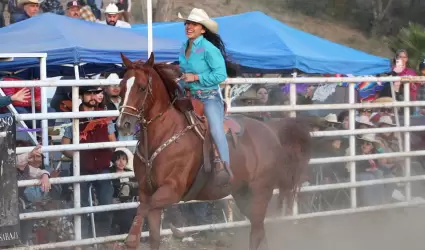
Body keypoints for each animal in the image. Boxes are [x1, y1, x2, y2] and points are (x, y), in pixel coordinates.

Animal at [115, 52, 312, 250]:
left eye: (141, 87)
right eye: (121, 87)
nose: (123, 124)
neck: (164, 135)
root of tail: (272, 131)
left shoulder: (172, 190)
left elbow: (143, 207)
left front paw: (133, 239)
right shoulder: (146, 190)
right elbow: (153, 233)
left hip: (260, 193)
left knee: (256, 232)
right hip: (243, 195)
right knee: (260, 232)